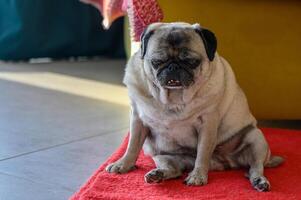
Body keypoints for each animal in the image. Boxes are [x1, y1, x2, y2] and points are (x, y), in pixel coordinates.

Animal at [104, 22, 282, 192]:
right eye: (157, 62)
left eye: (191, 62)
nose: (173, 66)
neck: (174, 99)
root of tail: (223, 164)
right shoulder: (138, 119)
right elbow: (132, 146)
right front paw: (124, 164)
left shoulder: (207, 124)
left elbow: (202, 154)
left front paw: (197, 176)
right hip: (161, 155)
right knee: (174, 170)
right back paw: (158, 174)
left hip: (256, 138)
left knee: (255, 167)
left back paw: (259, 181)